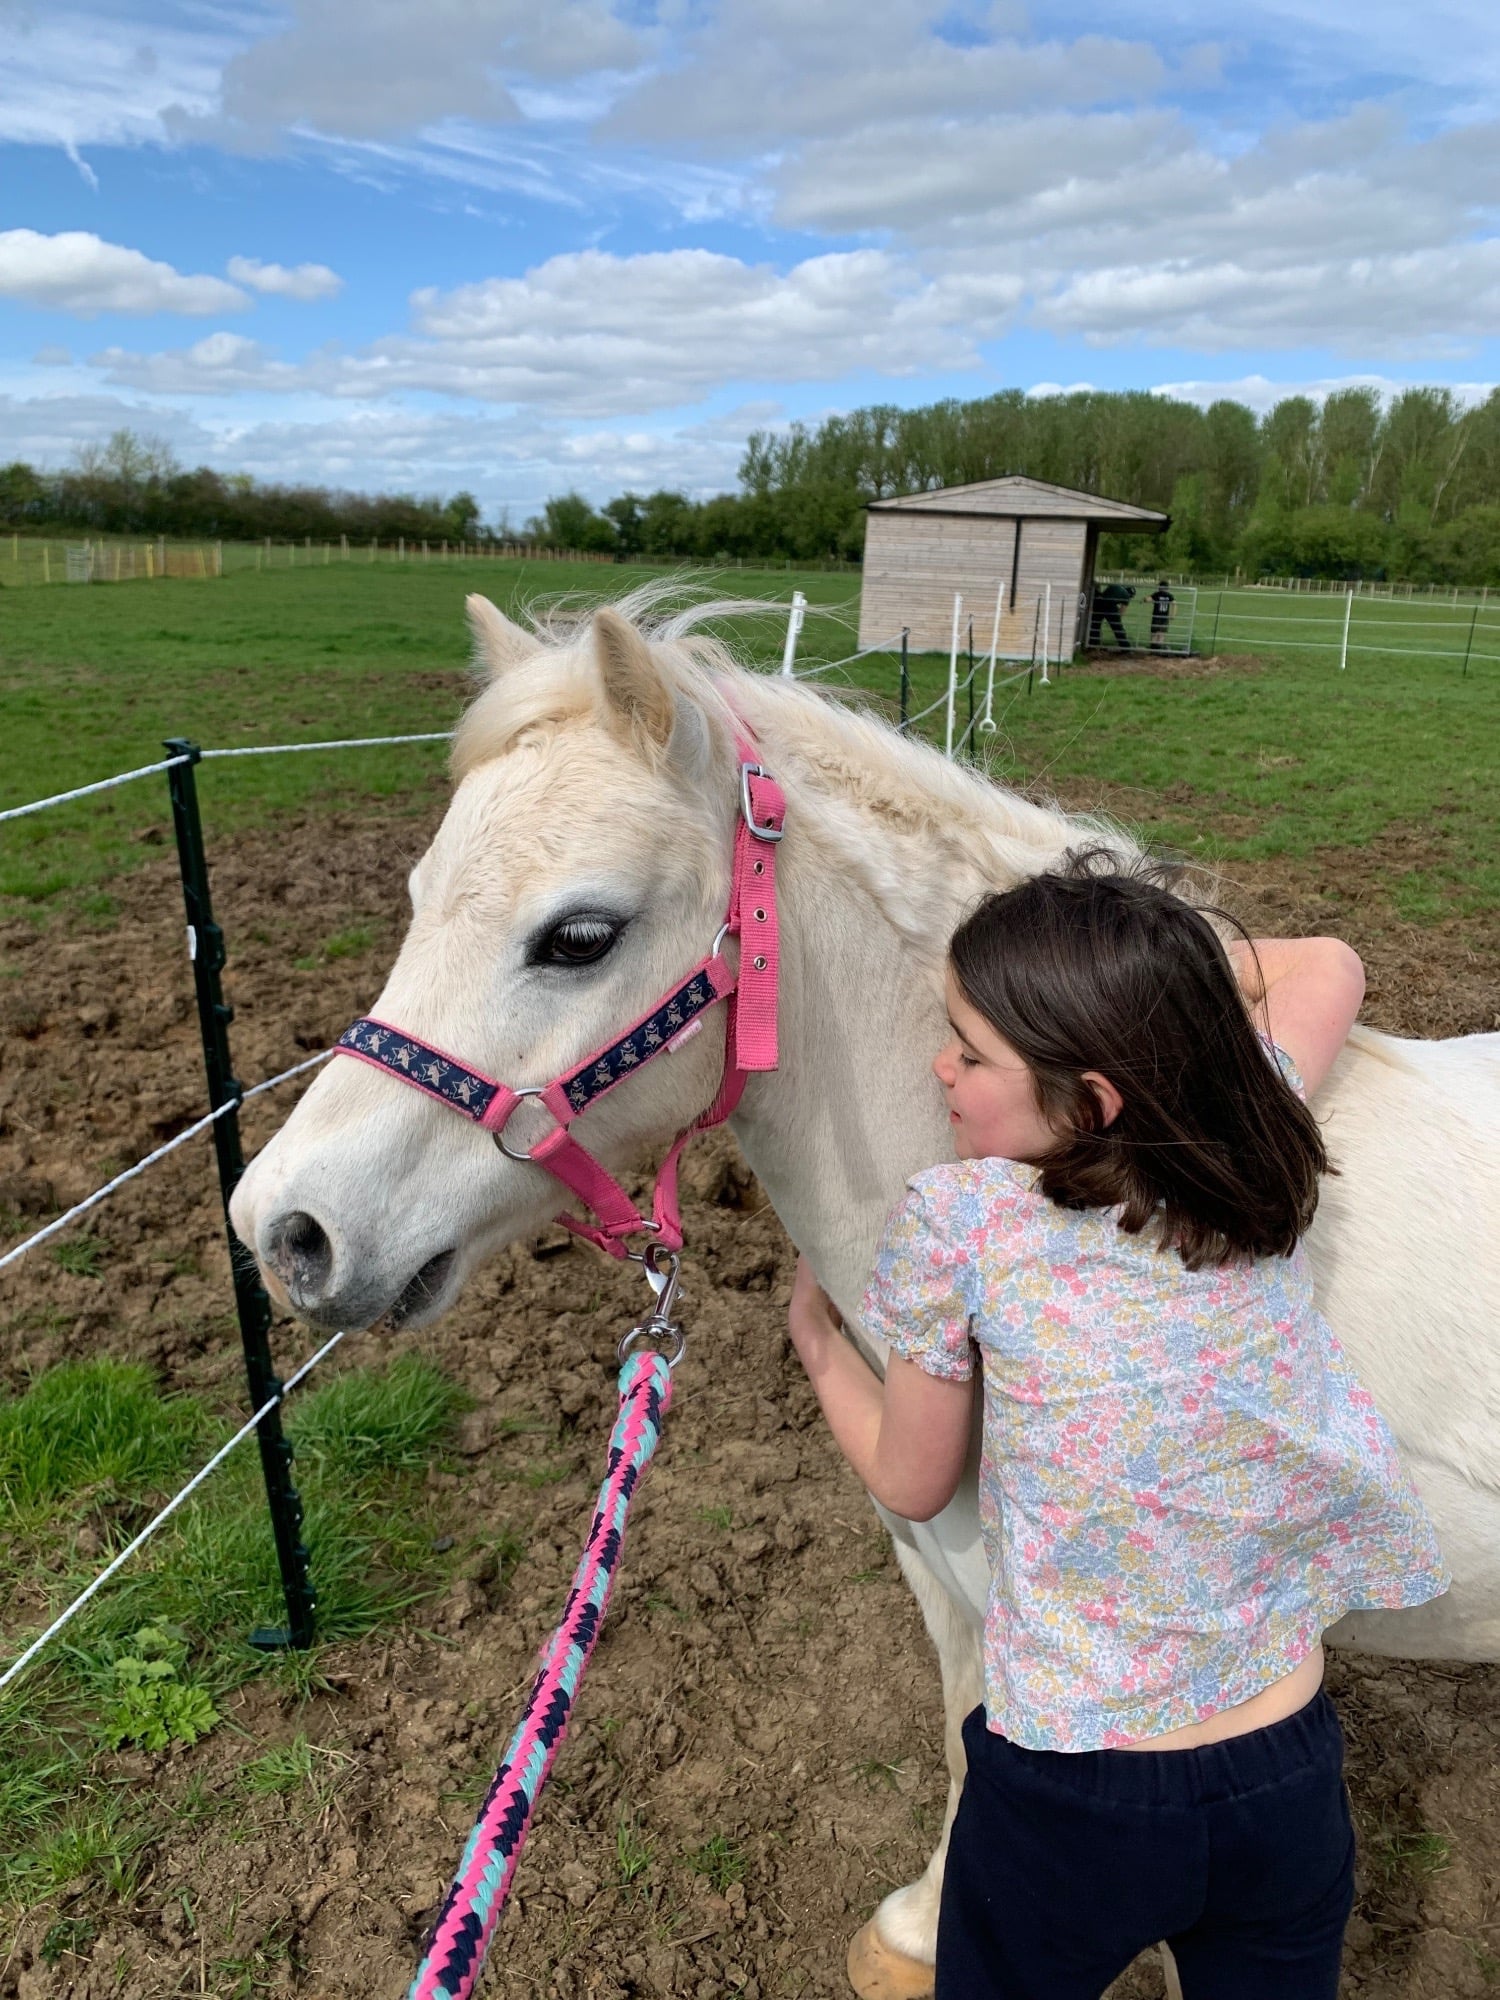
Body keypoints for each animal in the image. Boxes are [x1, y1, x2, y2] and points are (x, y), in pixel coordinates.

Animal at [230, 590, 1500, 1998]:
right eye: (413, 897)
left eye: (579, 935)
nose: (284, 1227)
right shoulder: (947, 1575)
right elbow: (961, 1733)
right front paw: (919, 1928)